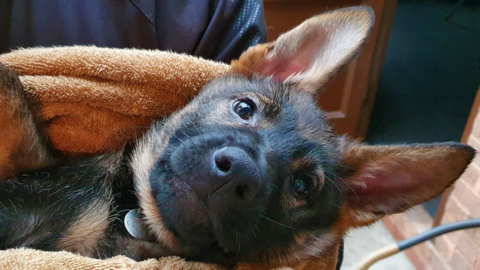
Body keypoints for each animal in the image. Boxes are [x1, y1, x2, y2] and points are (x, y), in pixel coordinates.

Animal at [0, 6, 474, 270]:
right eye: (245, 109)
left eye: (304, 185)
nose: (236, 174)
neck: (134, 220)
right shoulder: (36, 163)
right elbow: (15, 97)